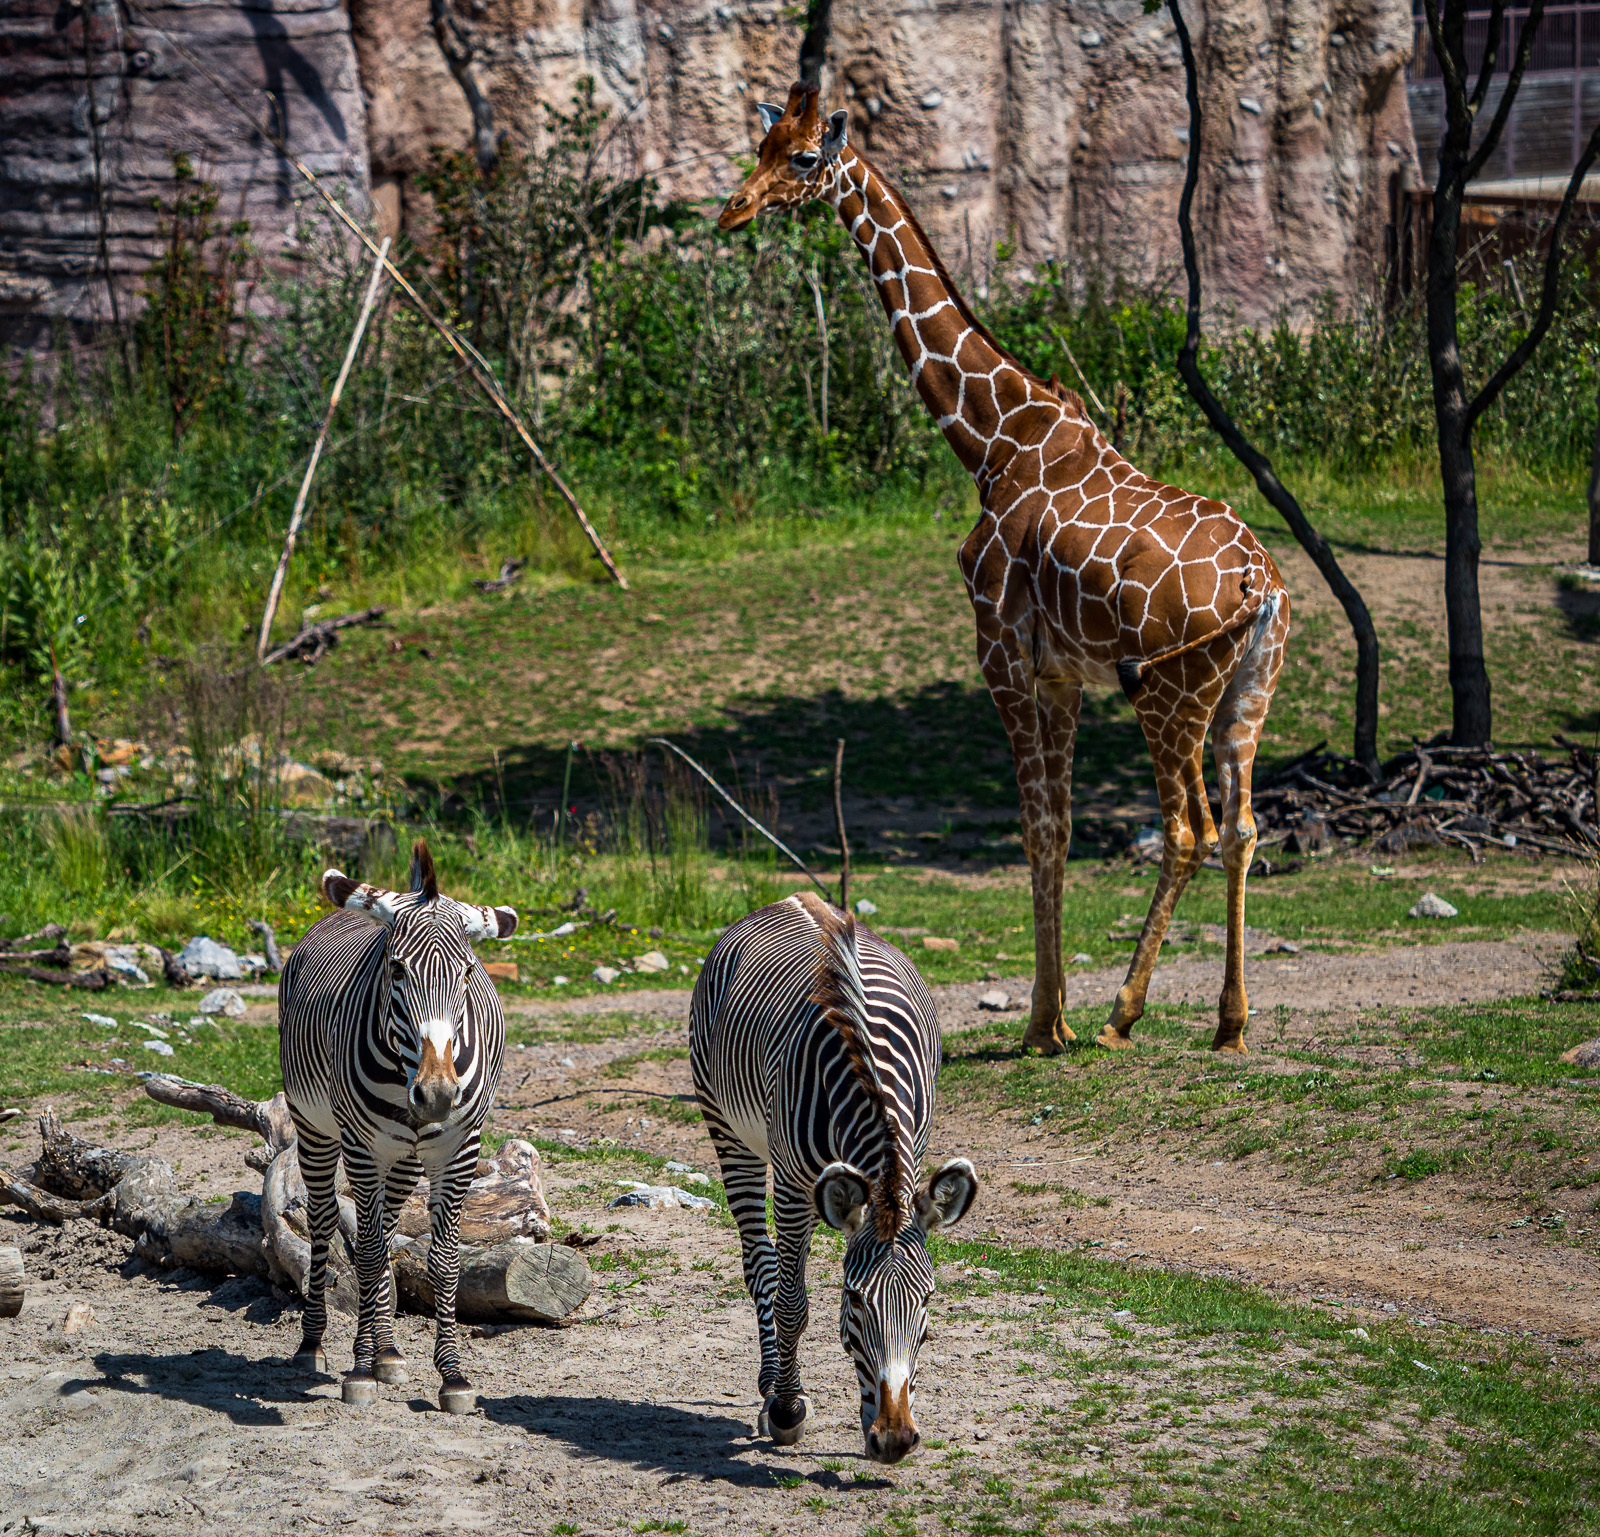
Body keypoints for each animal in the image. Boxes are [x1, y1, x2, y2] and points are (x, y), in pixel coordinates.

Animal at [278, 838, 515, 1413]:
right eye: (397, 971)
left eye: (468, 973)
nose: (436, 1095)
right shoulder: (362, 1146)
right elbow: (362, 1253)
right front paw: (360, 1371)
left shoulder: (459, 1150)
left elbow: (442, 1261)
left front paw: (452, 1375)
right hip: (315, 1127)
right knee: (324, 1222)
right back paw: (316, 1344)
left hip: (404, 1157)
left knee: (384, 1230)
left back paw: (384, 1348)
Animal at [691, 889, 972, 1465]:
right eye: (855, 1301)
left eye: (927, 1301)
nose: (894, 1440)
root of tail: (797, 896)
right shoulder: (794, 1184)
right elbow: (792, 1302)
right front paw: (786, 1409)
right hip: (728, 1129)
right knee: (760, 1263)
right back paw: (772, 1388)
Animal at [720, 83, 1292, 1055]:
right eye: (757, 145)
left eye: (801, 159)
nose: (732, 210)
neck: (990, 440)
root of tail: (1261, 586)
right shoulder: (1059, 670)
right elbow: (1055, 827)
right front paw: (1048, 1014)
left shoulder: (998, 645)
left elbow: (1036, 825)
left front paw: (1044, 1023)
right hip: (1248, 690)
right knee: (1246, 824)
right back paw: (1229, 1023)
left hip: (1168, 690)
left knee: (1188, 827)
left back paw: (1122, 1013)